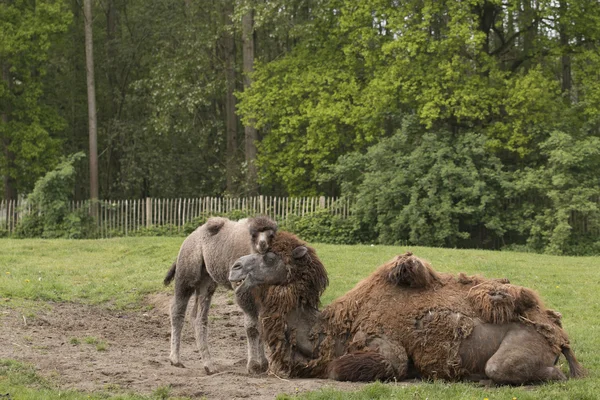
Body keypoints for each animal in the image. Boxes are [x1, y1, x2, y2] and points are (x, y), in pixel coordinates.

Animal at [164, 216, 276, 376]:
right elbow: (252, 326)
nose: (263, 244)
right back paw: (176, 360)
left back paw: (209, 365)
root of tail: (189, 237)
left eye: (271, 235)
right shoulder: (243, 291)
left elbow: (261, 324)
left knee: (198, 316)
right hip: (186, 273)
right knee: (177, 309)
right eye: (254, 235)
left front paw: (264, 365)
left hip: (207, 281)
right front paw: (253, 366)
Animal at [227, 233, 584, 382]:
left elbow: (352, 367)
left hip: (522, 348)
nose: (234, 267)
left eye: (269, 256)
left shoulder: (384, 345)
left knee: (532, 372)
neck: (326, 331)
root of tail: (558, 334)